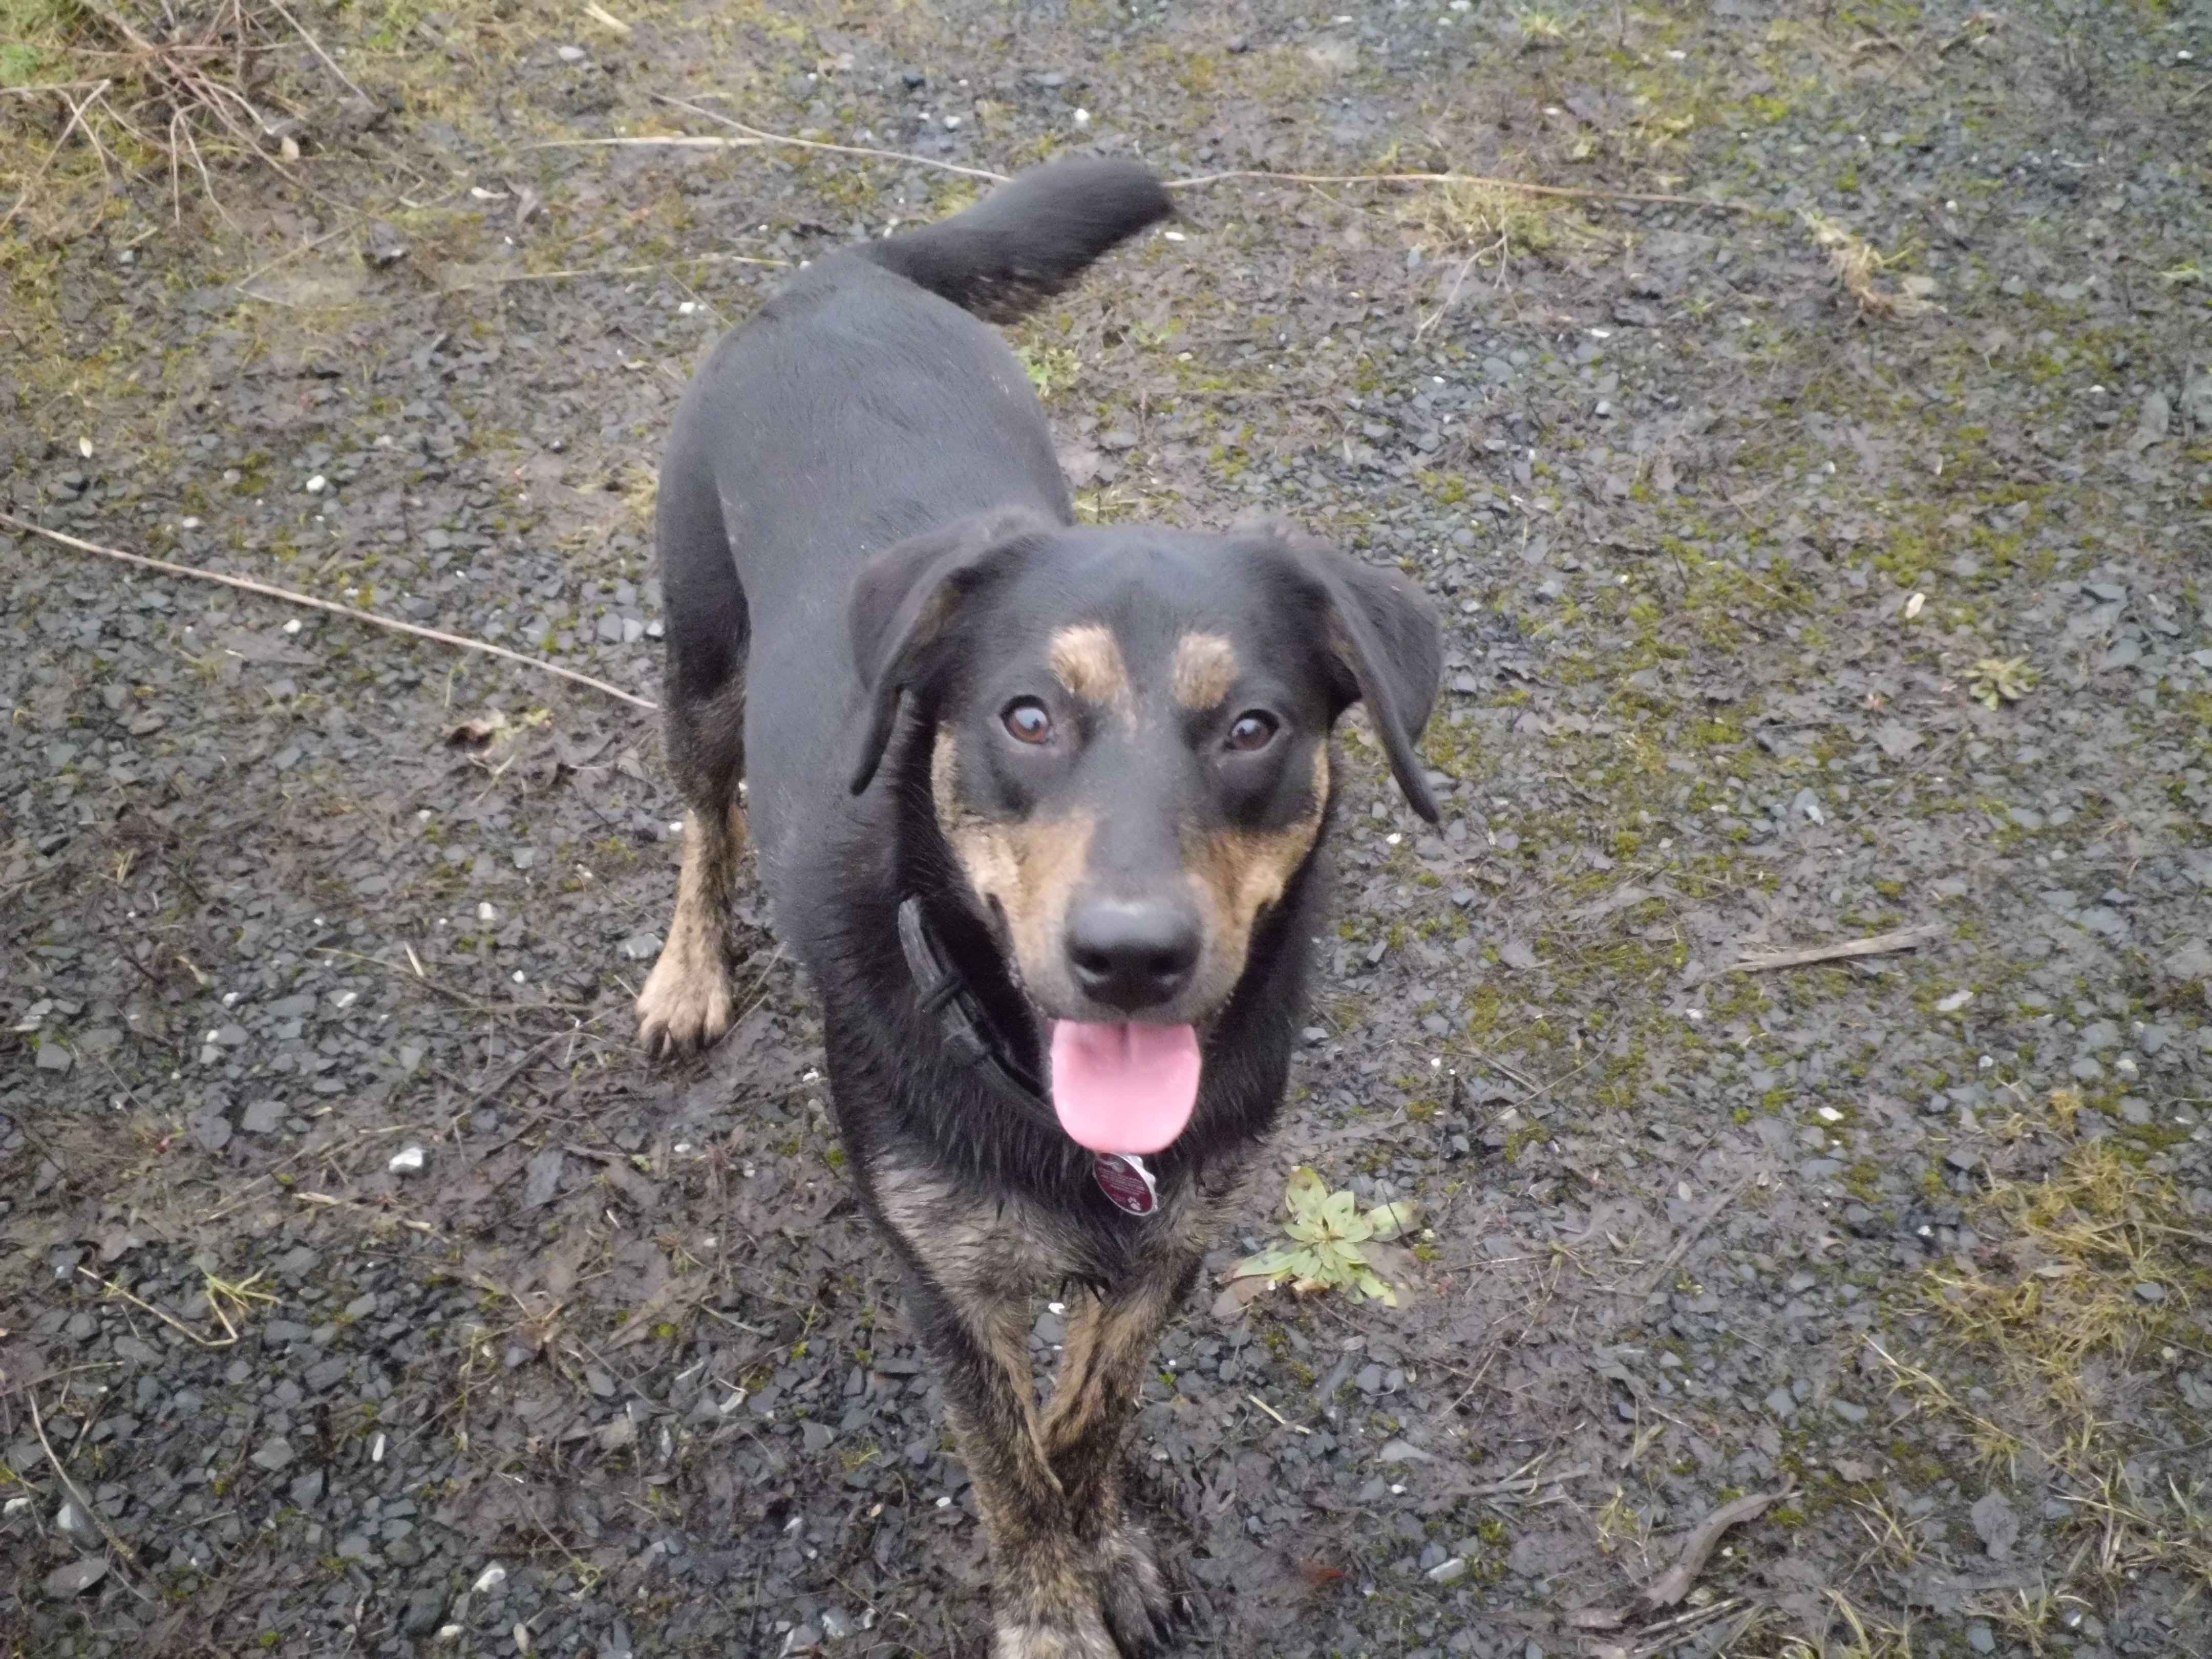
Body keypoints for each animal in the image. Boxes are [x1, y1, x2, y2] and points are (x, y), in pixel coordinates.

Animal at [632, 159, 1442, 1659]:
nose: (1132, 958)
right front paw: (1054, 1610)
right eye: (1026, 716)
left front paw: (1107, 1533)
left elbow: (1087, 1412)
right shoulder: (942, 1279)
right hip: (700, 654)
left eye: (1254, 727)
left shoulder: (1173, 1240)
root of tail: (845, 275)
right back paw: (685, 972)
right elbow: (1007, 1461)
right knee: (704, 819)